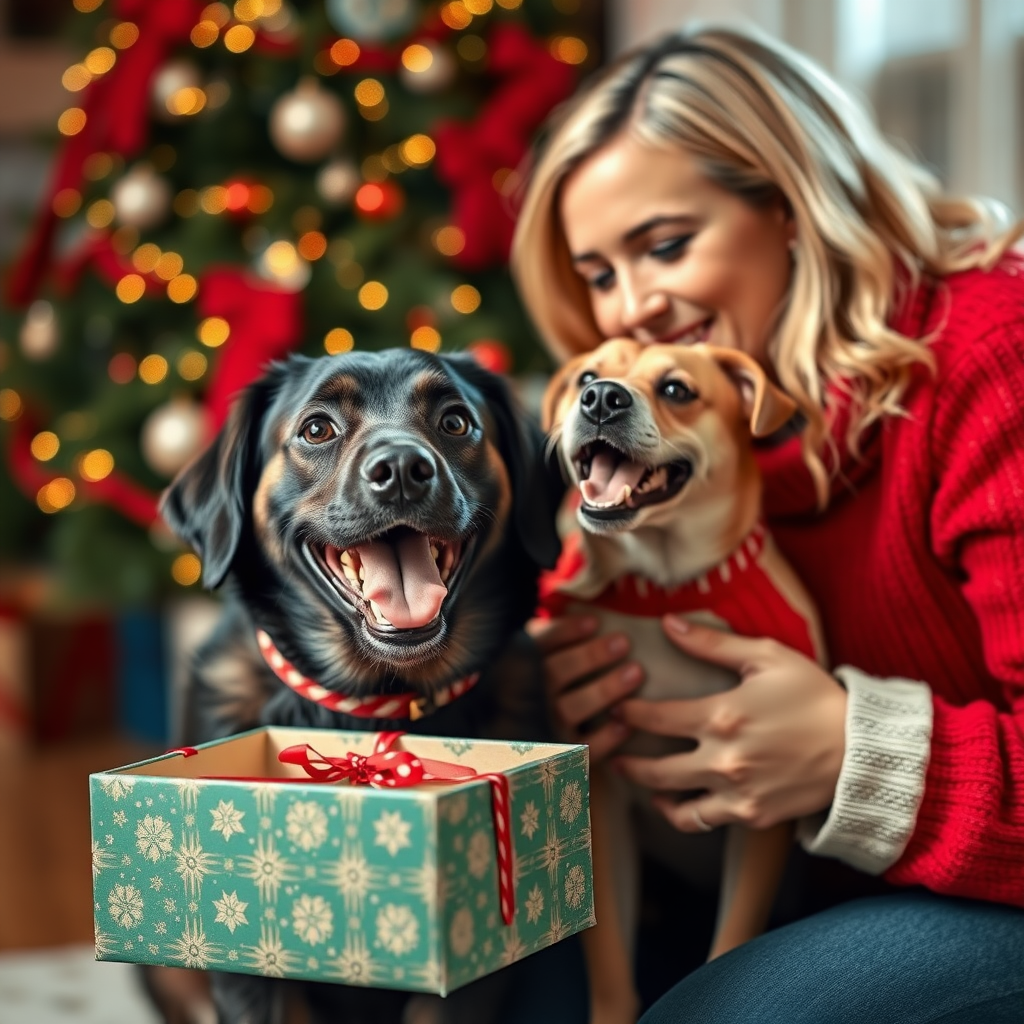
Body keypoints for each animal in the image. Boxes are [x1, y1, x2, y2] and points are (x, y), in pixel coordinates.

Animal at [544, 342, 823, 1024]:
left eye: (676, 390)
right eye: (588, 376)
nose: (601, 398)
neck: (664, 589)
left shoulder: (761, 809)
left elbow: (733, 936)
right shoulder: (600, 795)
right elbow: (610, 961)